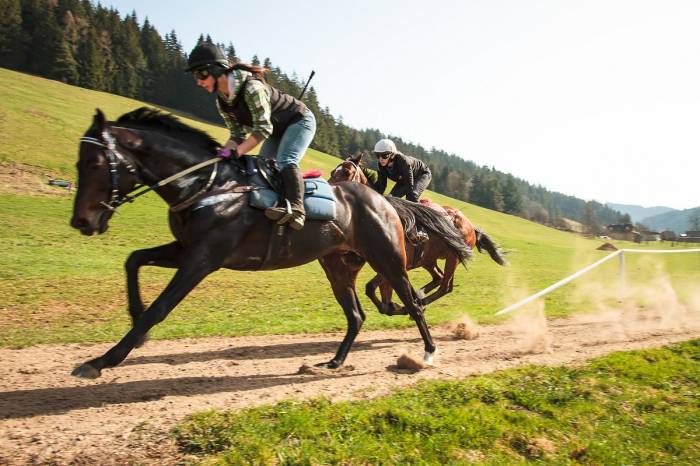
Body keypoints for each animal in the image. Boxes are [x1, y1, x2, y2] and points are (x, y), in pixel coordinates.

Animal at [69, 107, 470, 376]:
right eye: (79, 162)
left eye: (94, 163)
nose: (81, 221)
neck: (209, 185)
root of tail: (384, 201)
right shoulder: (185, 248)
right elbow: (134, 260)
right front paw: (134, 321)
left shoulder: (202, 258)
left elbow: (161, 306)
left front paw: (104, 359)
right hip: (338, 265)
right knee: (357, 314)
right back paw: (335, 361)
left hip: (388, 258)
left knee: (415, 301)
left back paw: (427, 353)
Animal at [330, 155, 506, 314]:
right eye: (333, 171)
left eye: (347, 172)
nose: (331, 191)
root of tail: (471, 227)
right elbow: (382, 298)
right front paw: (398, 306)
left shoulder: (396, 265)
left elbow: (372, 288)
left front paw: (406, 306)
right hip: (429, 259)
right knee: (440, 279)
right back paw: (420, 296)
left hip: (453, 258)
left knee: (444, 287)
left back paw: (422, 301)